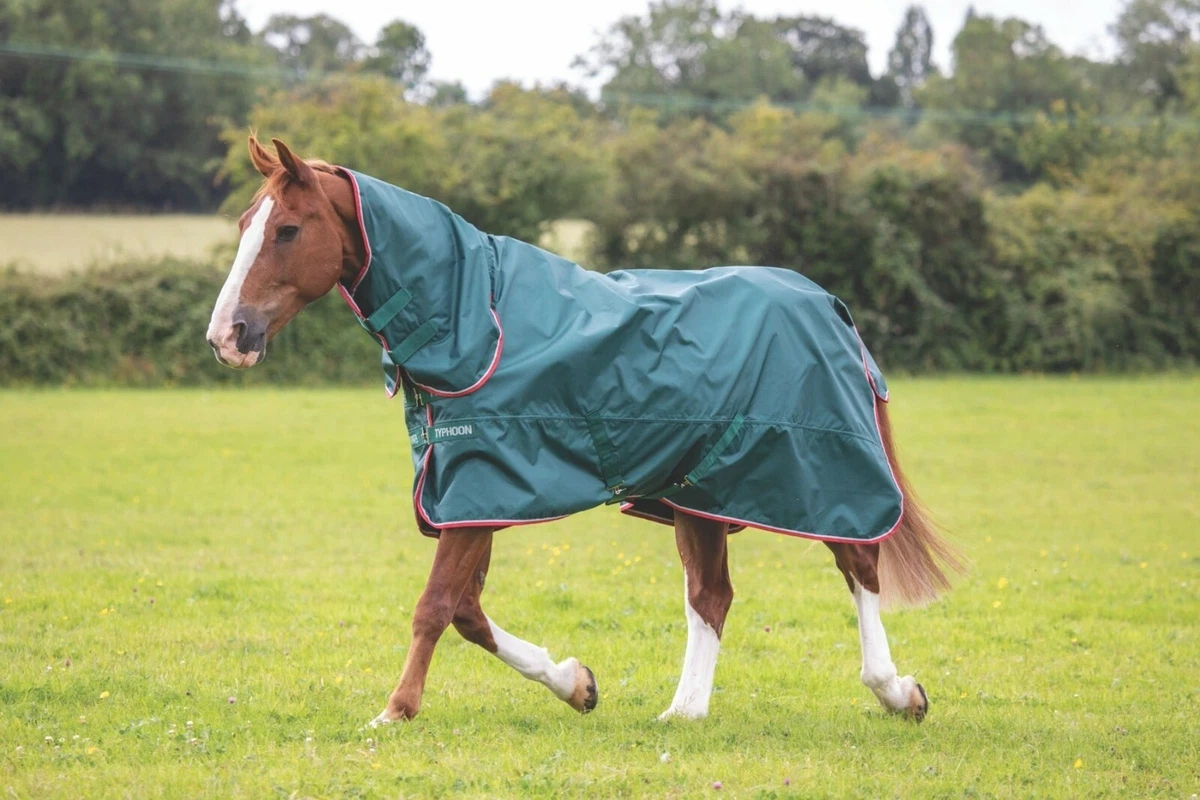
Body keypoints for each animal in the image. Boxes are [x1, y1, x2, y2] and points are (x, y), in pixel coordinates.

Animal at [206, 136, 965, 728]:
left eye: (288, 230)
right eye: (246, 222)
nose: (227, 335)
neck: (474, 321)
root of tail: (829, 304)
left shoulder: (479, 491)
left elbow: (435, 607)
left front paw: (394, 711)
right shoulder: (472, 494)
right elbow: (468, 612)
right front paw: (577, 684)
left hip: (821, 476)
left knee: (859, 567)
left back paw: (898, 693)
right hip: (701, 495)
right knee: (711, 597)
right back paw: (684, 712)